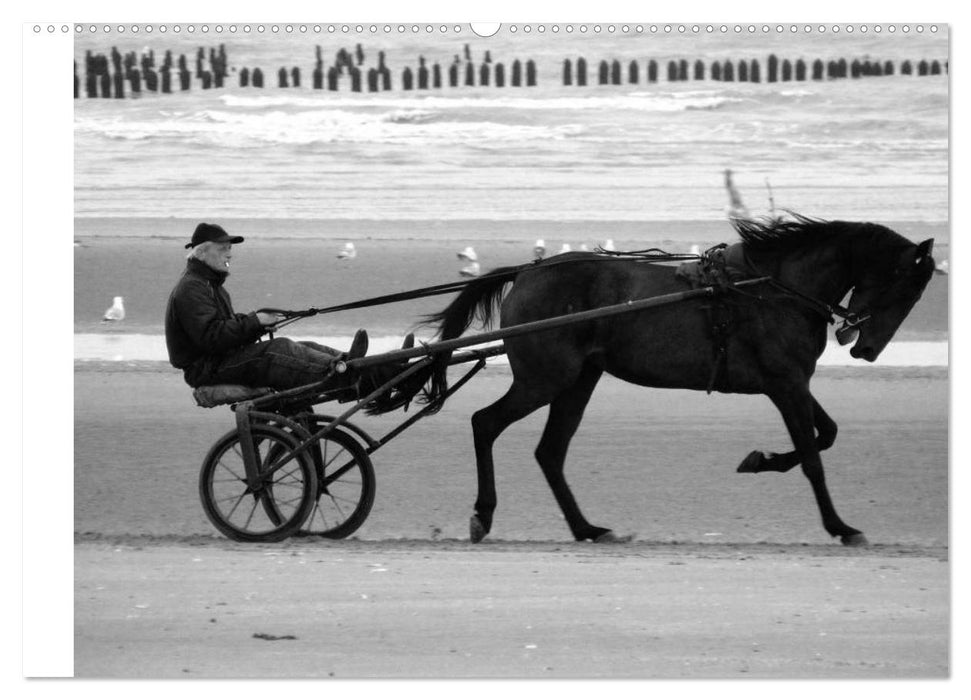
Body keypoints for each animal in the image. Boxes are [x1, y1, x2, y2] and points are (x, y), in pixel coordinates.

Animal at [424, 213, 936, 548]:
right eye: (905, 288)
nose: (867, 350)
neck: (772, 289)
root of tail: (527, 272)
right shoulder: (785, 383)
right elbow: (813, 457)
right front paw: (841, 527)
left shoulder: (793, 381)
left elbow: (826, 433)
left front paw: (761, 460)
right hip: (546, 377)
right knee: (485, 423)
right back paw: (484, 514)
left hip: (579, 379)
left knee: (550, 451)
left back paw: (588, 529)